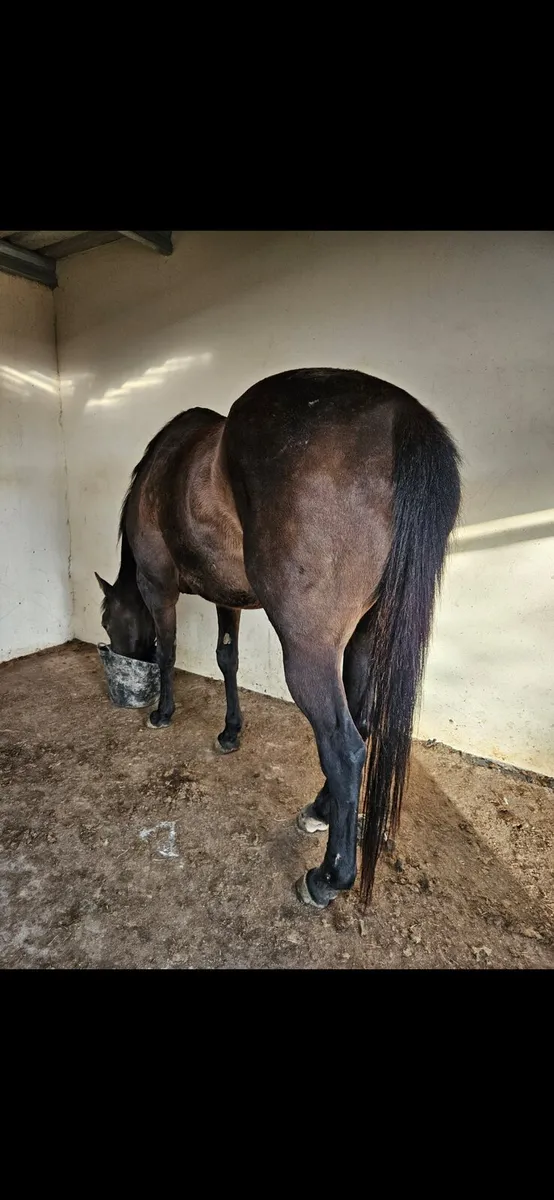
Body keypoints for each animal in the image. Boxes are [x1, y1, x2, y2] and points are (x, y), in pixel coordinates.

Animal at [96, 367, 461, 909]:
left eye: (106, 622)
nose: (119, 672)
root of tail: (402, 416)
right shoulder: (226, 597)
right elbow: (226, 659)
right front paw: (230, 732)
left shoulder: (157, 586)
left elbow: (168, 651)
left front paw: (163, 713)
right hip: (364, 636)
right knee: (361, 722)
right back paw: (320, 810)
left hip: (308, 650)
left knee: (344, 747)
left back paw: (328, 877)